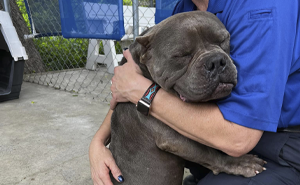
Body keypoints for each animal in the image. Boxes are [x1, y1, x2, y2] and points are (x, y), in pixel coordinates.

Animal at [108, 11, 264, 185]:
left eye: (223, 40)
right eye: (182, 55)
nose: (216, 61)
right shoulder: (173, 138)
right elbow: (209, 153)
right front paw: (241, 164)